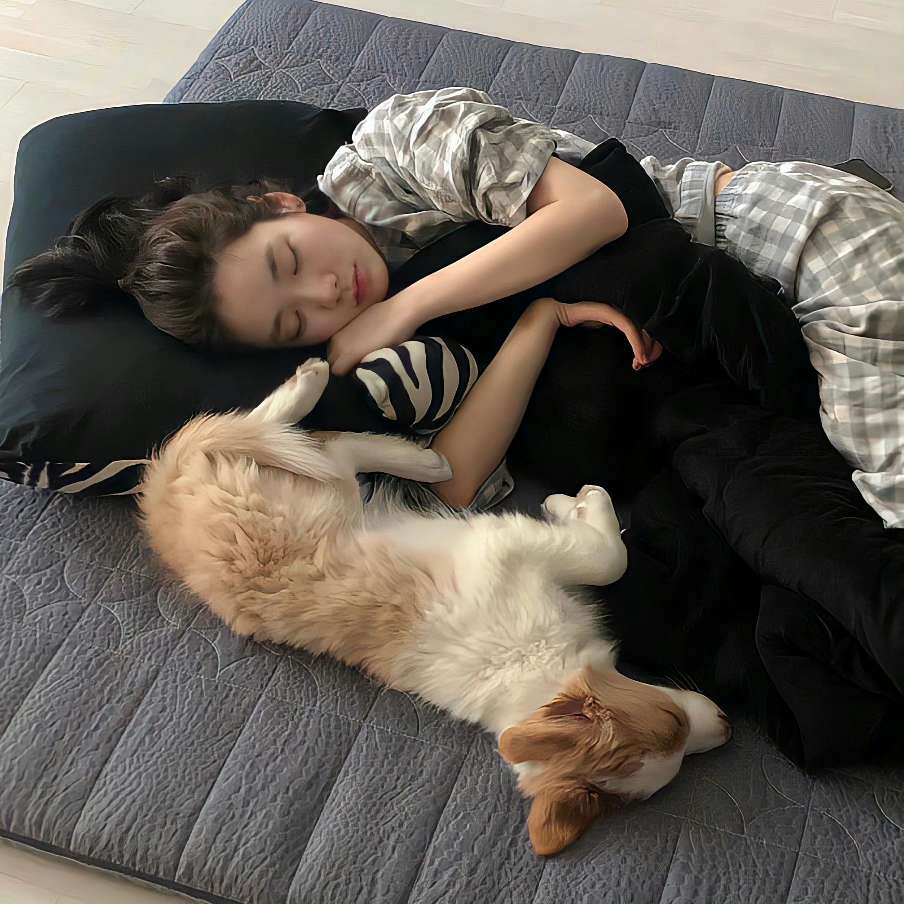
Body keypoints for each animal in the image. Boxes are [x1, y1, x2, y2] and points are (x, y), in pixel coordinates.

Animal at [139, 360, 731, 855]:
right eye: (672, 723)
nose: (728, 727)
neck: (535, 671)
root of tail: (162, 493)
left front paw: (574, 503)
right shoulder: (513, 544)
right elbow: (608, 558)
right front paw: (582, 501)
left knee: (311, 442)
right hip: (317, 491)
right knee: (296, 439)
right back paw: (373, 425)